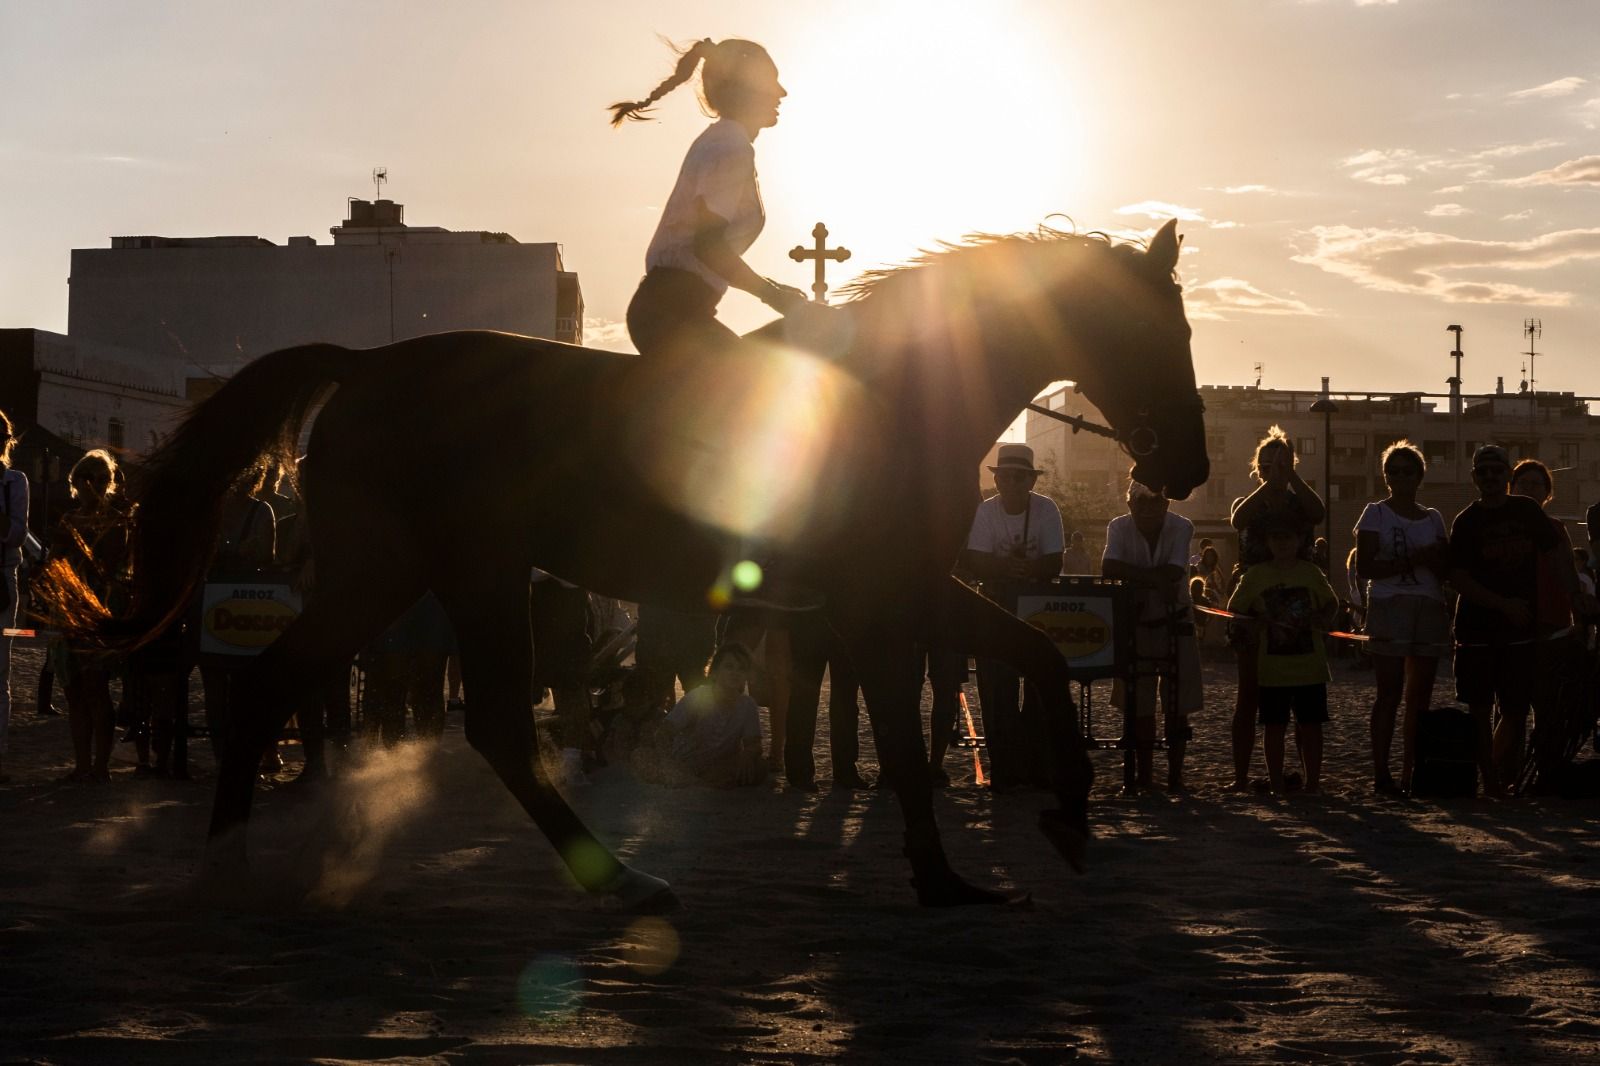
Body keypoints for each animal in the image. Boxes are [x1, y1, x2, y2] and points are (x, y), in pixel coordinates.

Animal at [84, 216, 1203, 902]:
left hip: (400, 577)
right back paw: (615, 880)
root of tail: (364, 367)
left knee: (291, 686)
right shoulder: (884, 601)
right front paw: (952, 874)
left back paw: (231, 867)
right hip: (456, 572)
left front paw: (1061, 819)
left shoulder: (911, 594)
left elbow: (1040, 657)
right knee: (484, 722)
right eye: (1159, 330)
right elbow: (912, 730)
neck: (894, 393)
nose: (1188, 464)